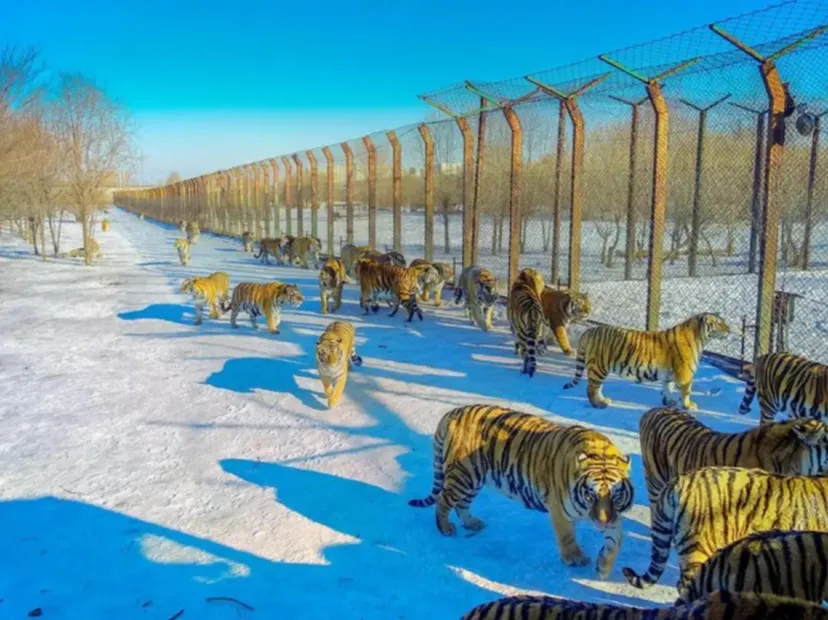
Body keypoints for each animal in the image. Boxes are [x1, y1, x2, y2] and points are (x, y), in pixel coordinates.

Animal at [409, 404, 634, 579]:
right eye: (590, 495)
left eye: (615, 496)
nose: (602, 523)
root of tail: (451, 413)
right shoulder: (560, 511)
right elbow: (567, 536)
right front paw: (574, 558)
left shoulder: (612, 515)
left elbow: (616, 540)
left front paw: (603, 567)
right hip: (464, 475)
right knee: (444, 500)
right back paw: (445, 528)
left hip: (473, 479)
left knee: (461, 504)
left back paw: (472, 523)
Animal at [564, 313, 730, 410]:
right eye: (719, 323)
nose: (729, 330)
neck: (701, 338)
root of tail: (589, 331)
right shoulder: (685, 375)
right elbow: (685, 392)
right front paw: (688, 406)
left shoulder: (669, 374)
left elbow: (668, 388)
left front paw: (669, 403)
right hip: (599, 367)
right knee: (591, 388)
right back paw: (599, 404)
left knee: (596, 388)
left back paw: (604, 400)